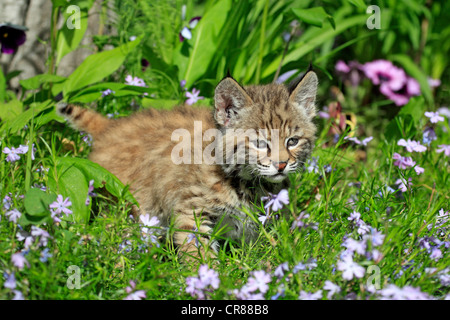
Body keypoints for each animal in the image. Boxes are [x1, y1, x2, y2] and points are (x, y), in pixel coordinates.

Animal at [58, 70, 318, 260]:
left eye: (292, 141)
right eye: (260, 143)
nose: (282, 165)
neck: (247, 181)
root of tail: (111, 126)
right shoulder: (191, 212)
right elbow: (198, 254)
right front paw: (208, 282)